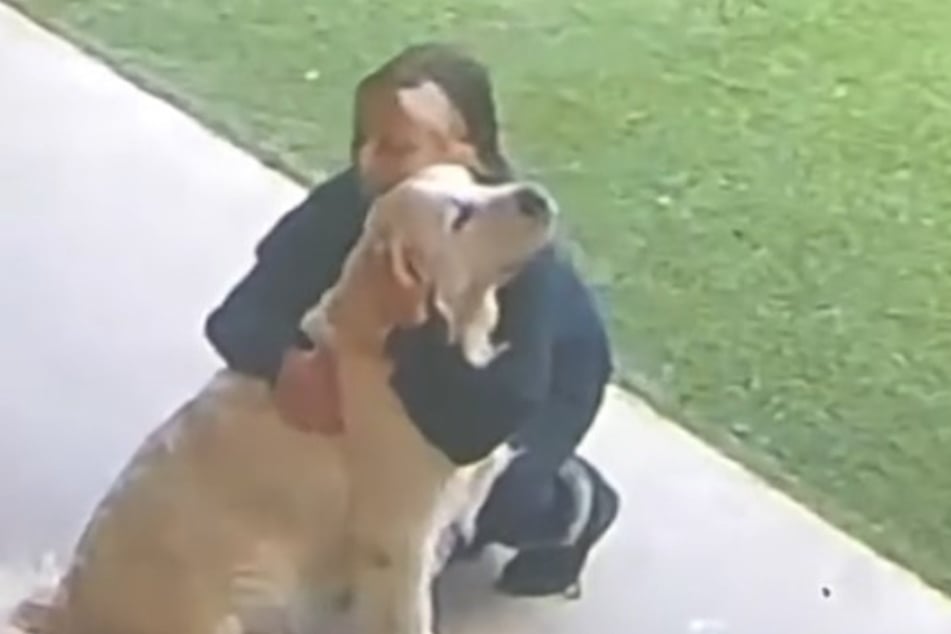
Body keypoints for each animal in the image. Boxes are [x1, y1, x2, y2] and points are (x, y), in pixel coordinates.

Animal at [9, 163, 556, 632]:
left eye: (478, 180)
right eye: (459, 217)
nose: (537, 196)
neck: (406, 342)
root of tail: (65, 610)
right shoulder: (399, 542)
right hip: (253, 583)